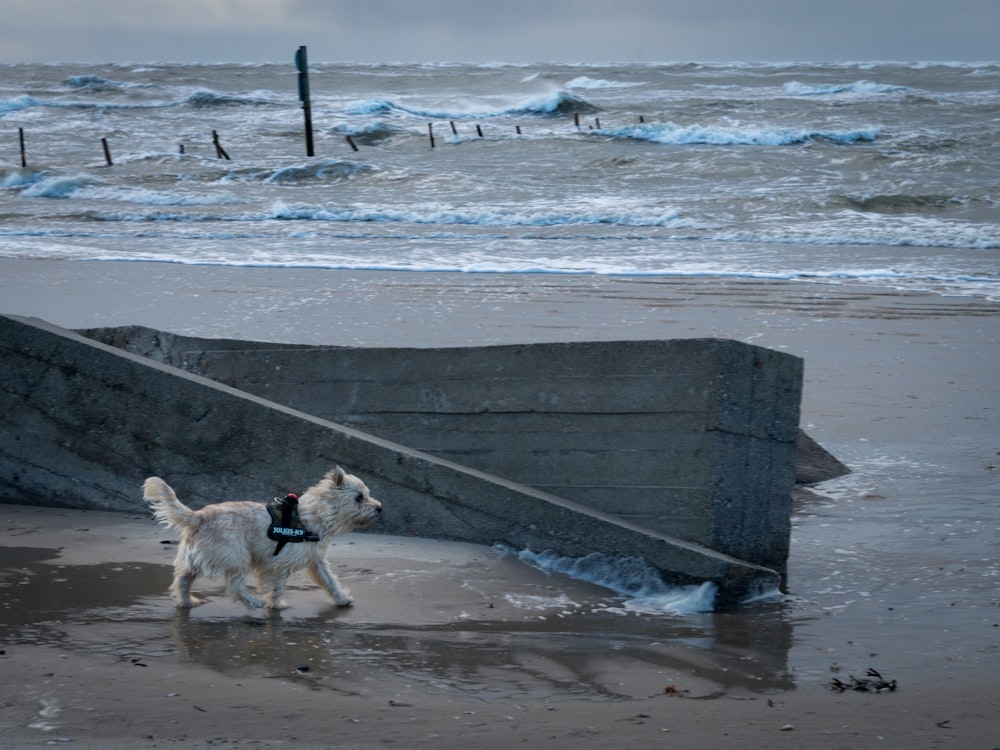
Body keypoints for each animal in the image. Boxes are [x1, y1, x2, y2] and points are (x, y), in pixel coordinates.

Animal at [145, 470, 382, 612]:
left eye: (366, 494)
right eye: (359, 497)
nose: (379, 508)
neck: (315, 515)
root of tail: (198, 517)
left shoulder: (316, 561)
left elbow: (330, 581)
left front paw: (342, 599)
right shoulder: (279, 564)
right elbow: (277, 586)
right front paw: (276, 604)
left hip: (197, 558)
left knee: (183, 580)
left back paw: (185, 602)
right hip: (237, 557)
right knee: (234, 586)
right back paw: (254, 602)